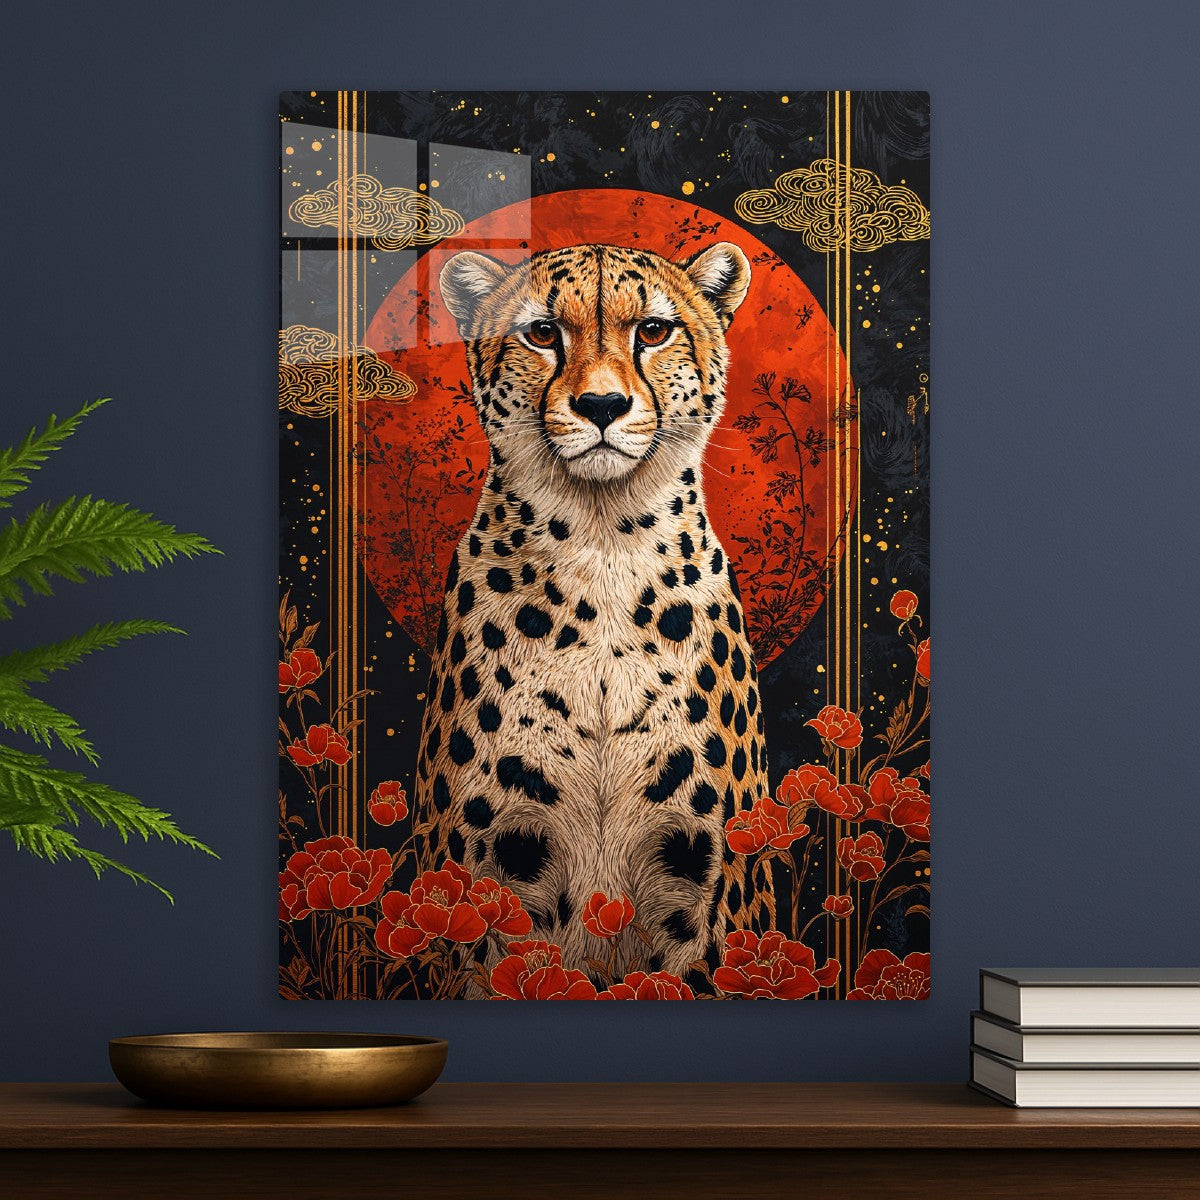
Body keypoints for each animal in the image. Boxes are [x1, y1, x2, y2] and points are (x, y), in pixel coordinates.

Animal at [412, 239, 773, 992]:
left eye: (655, 331)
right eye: (543, 333)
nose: (602, 403)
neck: (602, 542)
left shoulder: (707, 889)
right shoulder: (484, 879)